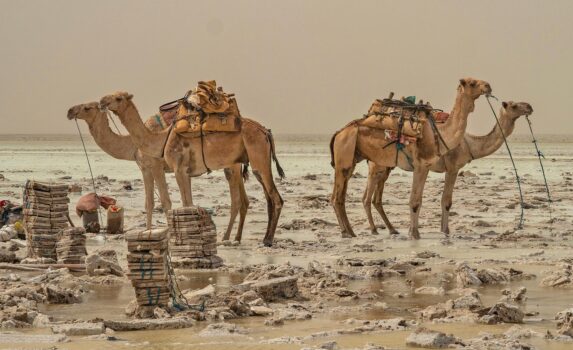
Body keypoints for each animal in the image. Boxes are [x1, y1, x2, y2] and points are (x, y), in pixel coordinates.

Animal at [65, 101, 248, 242]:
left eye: (87, 107)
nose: (70, 111)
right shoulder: (145, 168)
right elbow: (149, 203)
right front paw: (147, 232)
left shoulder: (157, 166)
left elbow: (166, 201)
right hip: (234, 165)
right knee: (244, 201)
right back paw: (237, 237)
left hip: (231, 165)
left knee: (236, 200)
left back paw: (226, 237)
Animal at [100, 91, 284, 247]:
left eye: (118, 98)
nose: (102, 101)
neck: (161, 138)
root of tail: (265, 131)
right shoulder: (185, 171)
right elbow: (188, 203)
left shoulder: (178, 168)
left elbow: (185, 203)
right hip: (251, 163)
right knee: (265, 197)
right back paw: (250, 238)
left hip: (255, 157)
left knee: (273, 198)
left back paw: (263, 239)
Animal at [328, 78, 490, 239]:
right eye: (472, 83)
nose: (488, 86)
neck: (439, 134)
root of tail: (339, 132)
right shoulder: (421, 164)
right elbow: (415, 200)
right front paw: (414, 234)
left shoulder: (426, 166)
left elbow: (418, 199)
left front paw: (414, 232)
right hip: (345, 153)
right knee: (337, 197)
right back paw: (346, 232)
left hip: (352, 159)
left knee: (341, 196)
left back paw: (351, 231)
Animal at [362, 102, 532, 237]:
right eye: (514, 106)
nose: (529, 107)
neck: (469, 144)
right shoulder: (453, 167)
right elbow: (446, 201)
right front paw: (445, 230)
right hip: (376, 164)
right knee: (367, 197)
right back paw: (374, 229)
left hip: (386, 167)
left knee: (375, 197)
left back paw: (392, 229)